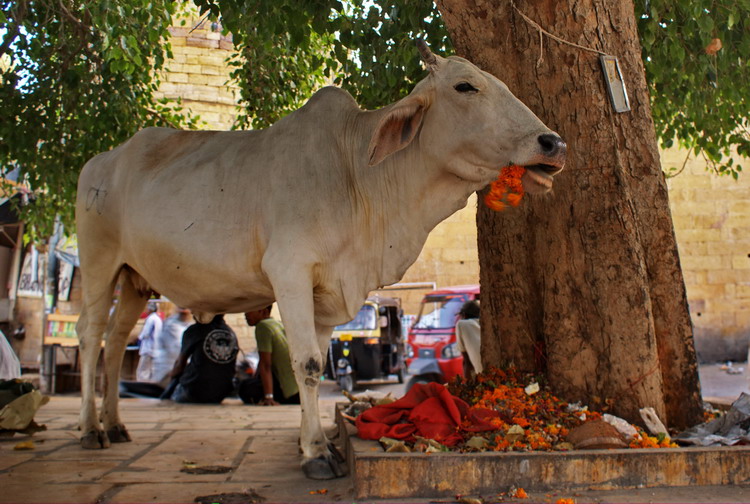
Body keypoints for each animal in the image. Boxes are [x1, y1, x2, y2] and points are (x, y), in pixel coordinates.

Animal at [76, 41, 568, 478]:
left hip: (134, 279)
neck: (359, 177)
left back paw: (115, 425)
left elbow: (319, 360)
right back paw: (89, 430)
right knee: (91, 335)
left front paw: (309, 442)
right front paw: (315, 453)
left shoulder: (330, 293)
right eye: (465, 86)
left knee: (116, 342)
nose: (553, 143)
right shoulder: (290, 272)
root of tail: (102, 159)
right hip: (99, 263)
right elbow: (309, 364)